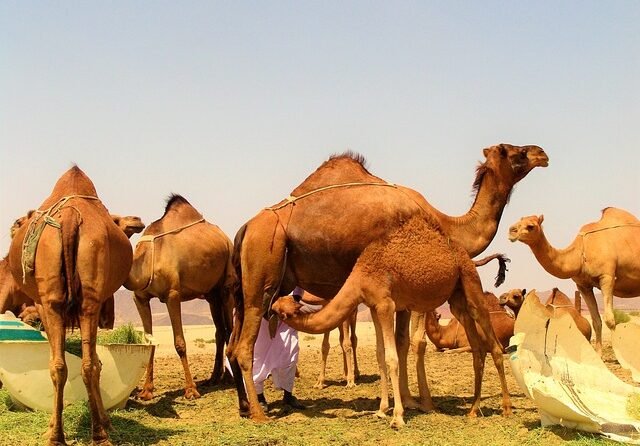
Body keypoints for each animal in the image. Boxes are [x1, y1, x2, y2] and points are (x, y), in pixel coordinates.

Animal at [6, 166, 134, 446]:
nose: (12, 225)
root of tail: (70, 218)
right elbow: (89, 360)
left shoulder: (42, 305)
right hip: (85, 298)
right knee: (80, 365)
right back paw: (94, 434)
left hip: (58, 300)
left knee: (70, 365)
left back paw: (66, 433)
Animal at [124, 195, 236, 400]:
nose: (136, 220)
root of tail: (226, 238)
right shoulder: (140, 298)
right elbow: (149, 343)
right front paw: (146, 391)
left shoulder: (172, 295)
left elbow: (180, 343)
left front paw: (191, 390)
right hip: (211, 295)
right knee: (219, 330)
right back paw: (214, 378)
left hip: (227, 285)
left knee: (229, 329)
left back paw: (229, 379)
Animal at [272, 214, 512, 426]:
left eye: (277, 309)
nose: (269, 309)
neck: (361, 277)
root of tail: (465, 255)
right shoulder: (373, 306)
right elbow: (380, 355)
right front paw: (381, 410)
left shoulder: (386, 304)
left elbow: (391, 357)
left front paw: (397, 416)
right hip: (457, 297)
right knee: (477, 349)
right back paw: (473, 410)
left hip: (470, 281)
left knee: (494, 345)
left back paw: (506, 408)